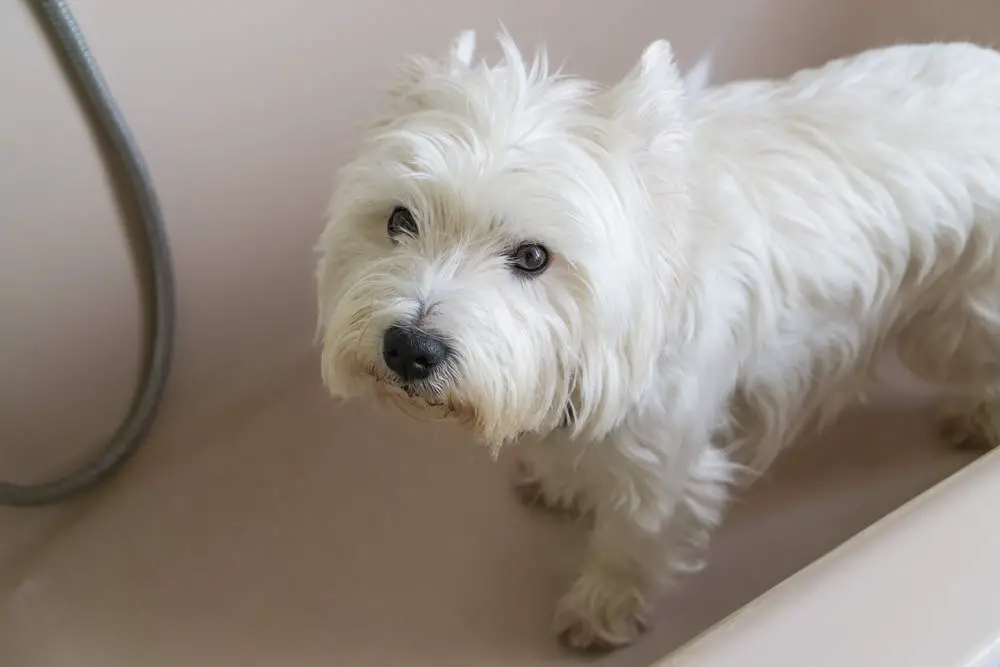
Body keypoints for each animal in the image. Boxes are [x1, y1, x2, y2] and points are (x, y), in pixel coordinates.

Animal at [316, 32, 1000, 652]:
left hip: (953, 320)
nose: (410, 348)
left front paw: (599, 610)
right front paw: (557, 483)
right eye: (399, 219)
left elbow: (632, 536)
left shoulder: (663, 456)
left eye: (533, 256)